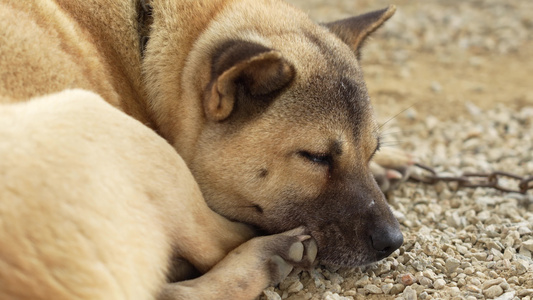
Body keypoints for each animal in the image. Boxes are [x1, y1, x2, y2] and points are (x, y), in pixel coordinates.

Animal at [1, 0, 404, 298]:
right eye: (316, 157)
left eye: (370, 150)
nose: (394, 242)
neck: (144, 35)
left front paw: (387, 163)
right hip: (108, 124)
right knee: (216, 244)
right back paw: (268, 256)